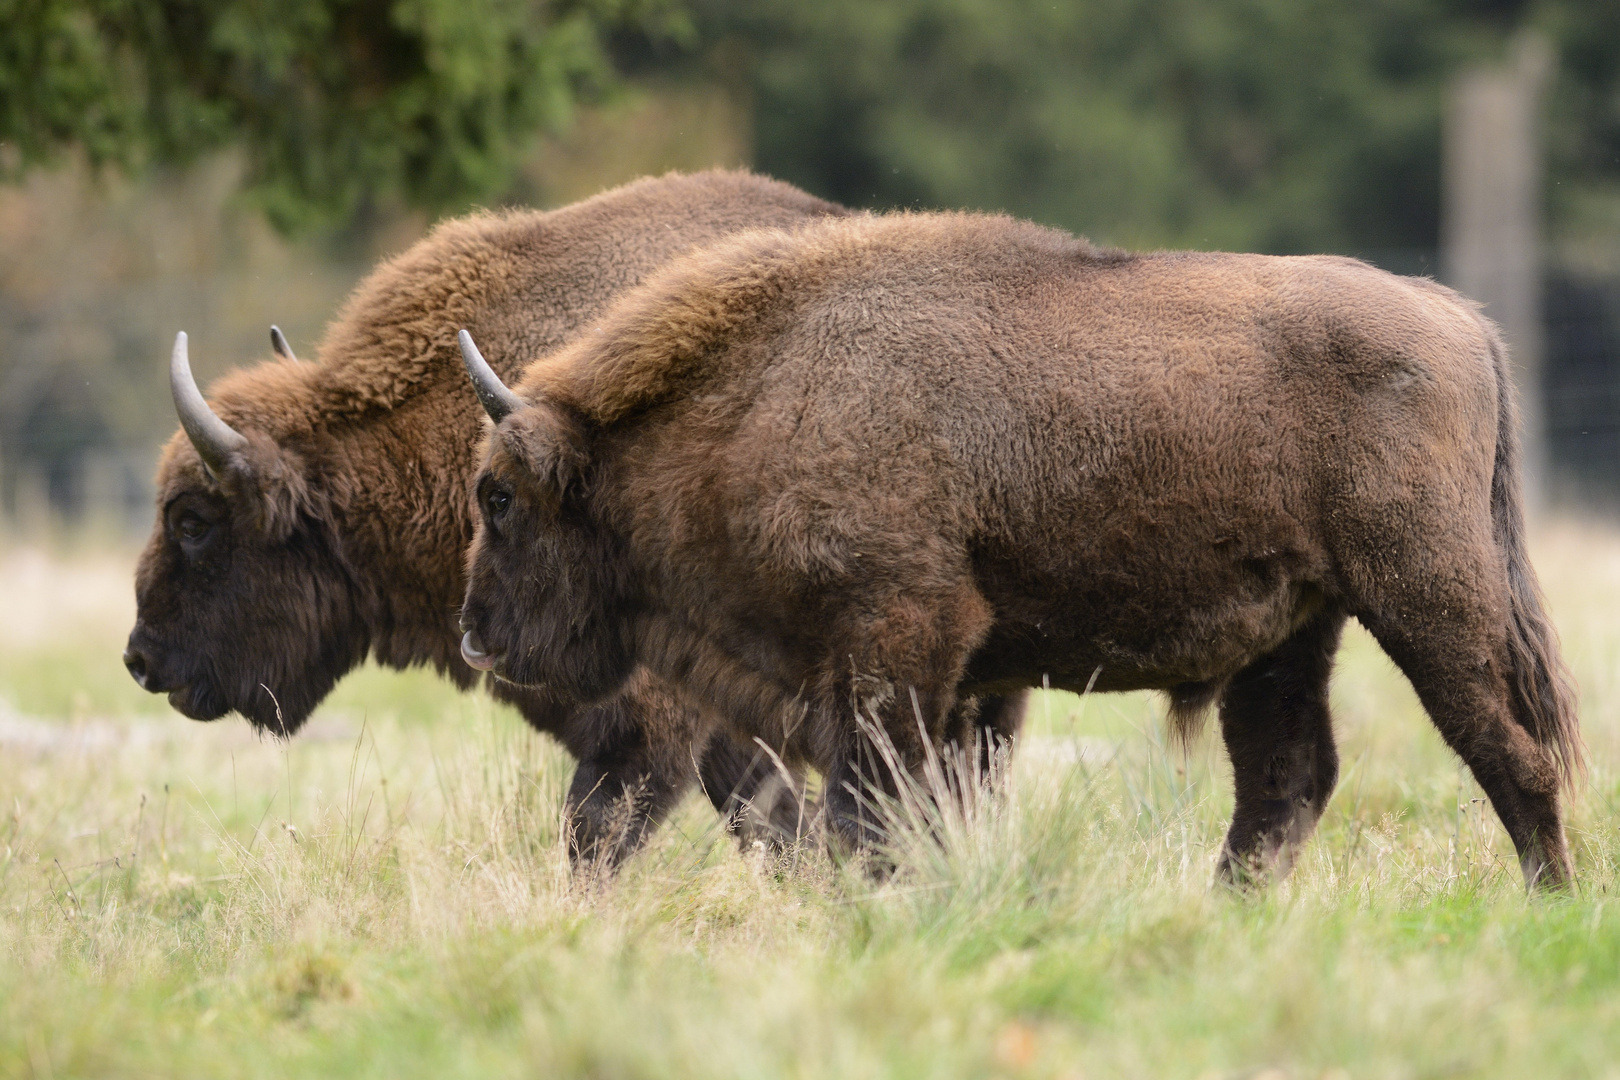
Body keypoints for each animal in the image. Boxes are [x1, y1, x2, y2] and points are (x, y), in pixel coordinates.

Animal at [456, 208, 1581, 887]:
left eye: (500, 496)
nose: (474, 635)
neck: (762, 397)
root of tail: (1456, 318)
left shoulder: (898, 646)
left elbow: (871, 812)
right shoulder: (930, 683)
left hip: (1427, 595)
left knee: (1508, 751)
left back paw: (1552, 906)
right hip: (1299, 630)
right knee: (1286, 779)